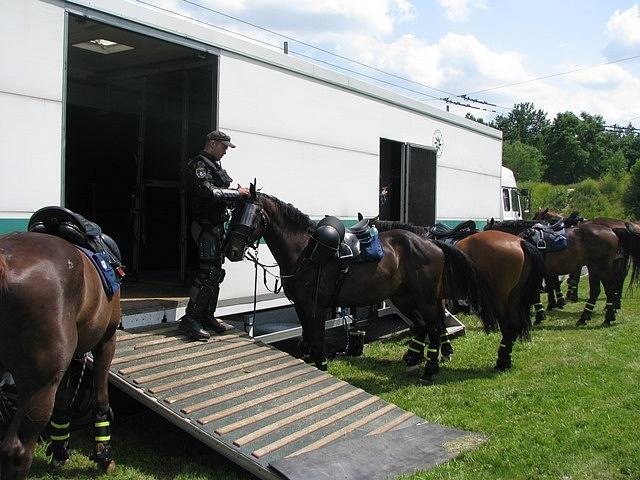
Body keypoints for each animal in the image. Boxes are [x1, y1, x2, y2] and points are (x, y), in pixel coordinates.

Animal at [0, 231, 119, 478]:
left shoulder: (68, 360)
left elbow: (63, 402)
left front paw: (60, 450)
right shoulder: (106, 341)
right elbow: (101, 398)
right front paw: (104, 455)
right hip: (39, 385)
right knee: (17, 450)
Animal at [372, 222, 544, 372]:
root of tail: (519, 242)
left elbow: (430, 325)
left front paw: (419, 355)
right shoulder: (435, 299)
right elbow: (438, 324)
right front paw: (442, 352)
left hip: (501, 298)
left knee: (509, 326)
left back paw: (502, 362)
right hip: (513, 297)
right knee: (514, 326)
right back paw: (505, 360)